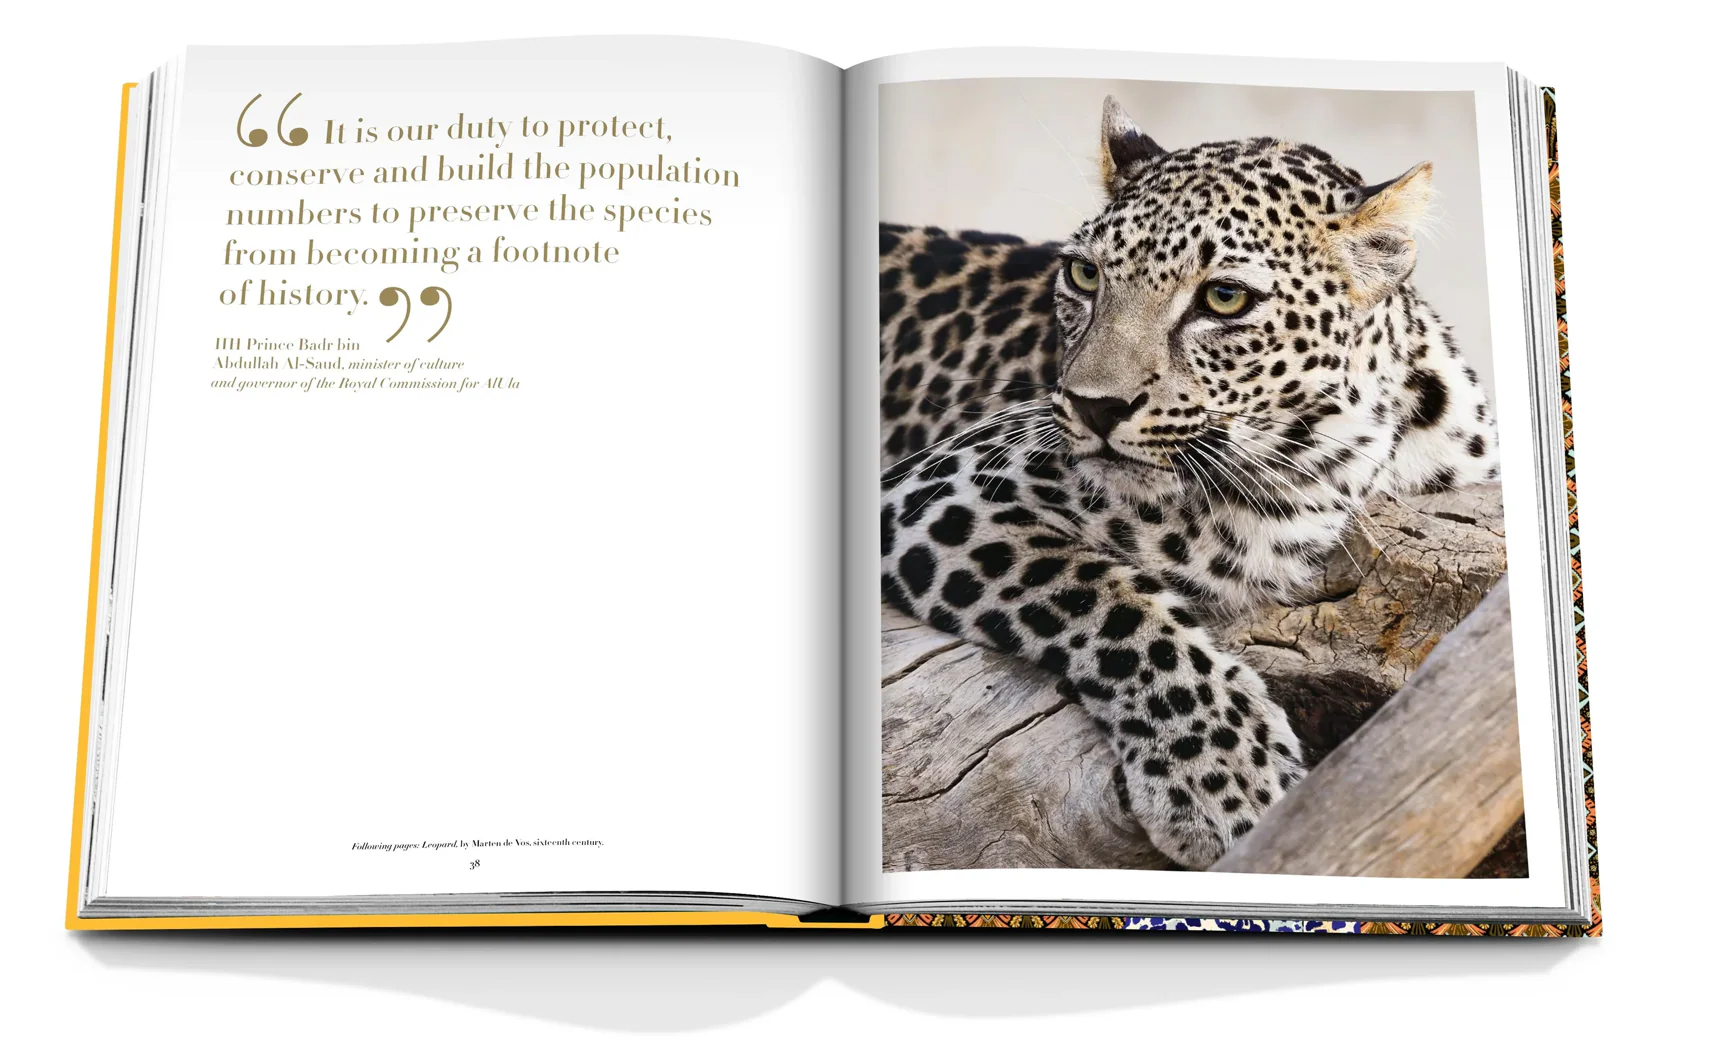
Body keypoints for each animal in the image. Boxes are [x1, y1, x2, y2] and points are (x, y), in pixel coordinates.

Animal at [879, 96, 1499, 869]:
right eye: (1085, 276)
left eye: (1224, 298)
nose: (1094, 406)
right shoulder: (948, 487)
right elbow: (1112, 602)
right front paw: (1226, 780)